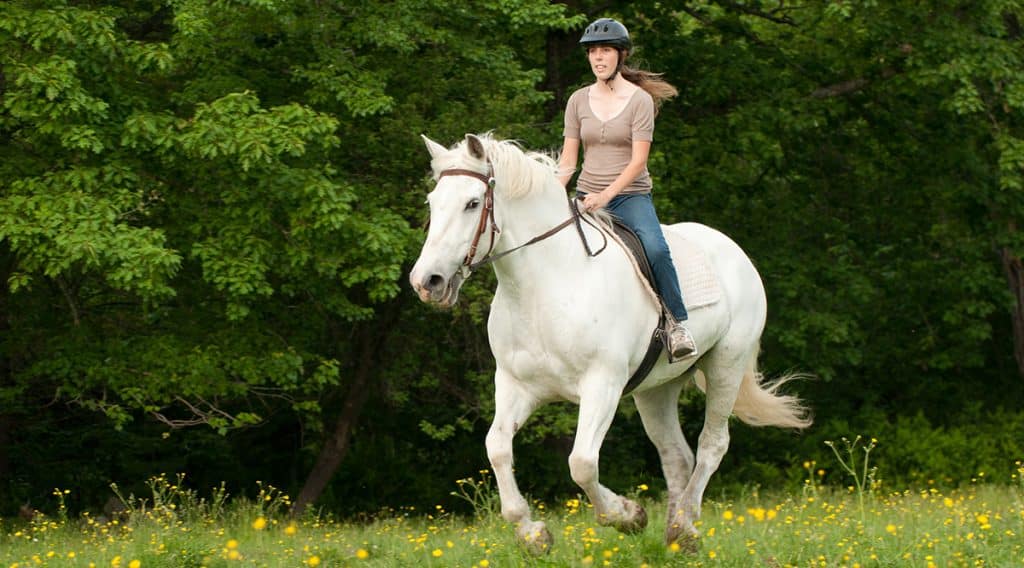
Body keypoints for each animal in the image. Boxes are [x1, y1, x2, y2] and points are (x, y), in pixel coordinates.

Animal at [410, 133, 811, 553]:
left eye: (473, 203)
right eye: (433, 202)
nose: (427, 281)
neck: (544, 284)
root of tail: (734, 250)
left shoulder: (602, 384)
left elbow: (582, 463)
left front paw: (627, 516)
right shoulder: (515, 385)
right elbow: (498, 448)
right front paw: (533, 533)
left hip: (725, 367)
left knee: (712, 445)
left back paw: (685, 525)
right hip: (657, 389)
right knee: (676, 456)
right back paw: (673, 536)